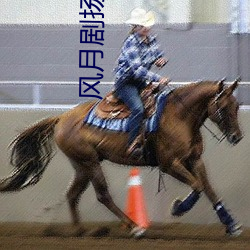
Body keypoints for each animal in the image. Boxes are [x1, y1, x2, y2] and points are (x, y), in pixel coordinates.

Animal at [0, 79, 243, 237]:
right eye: (223, 107)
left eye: (237, 105)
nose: (237, 137)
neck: (179, 116)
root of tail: (61, 118)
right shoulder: (170, 164)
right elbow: (197, 186)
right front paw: (178, 208)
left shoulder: (194, 160)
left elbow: (208, 189)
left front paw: (232, 225)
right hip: (90, 163)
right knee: (102, 195)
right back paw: (134, 226)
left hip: (82, 165)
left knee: (72, 195)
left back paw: (82, 231)